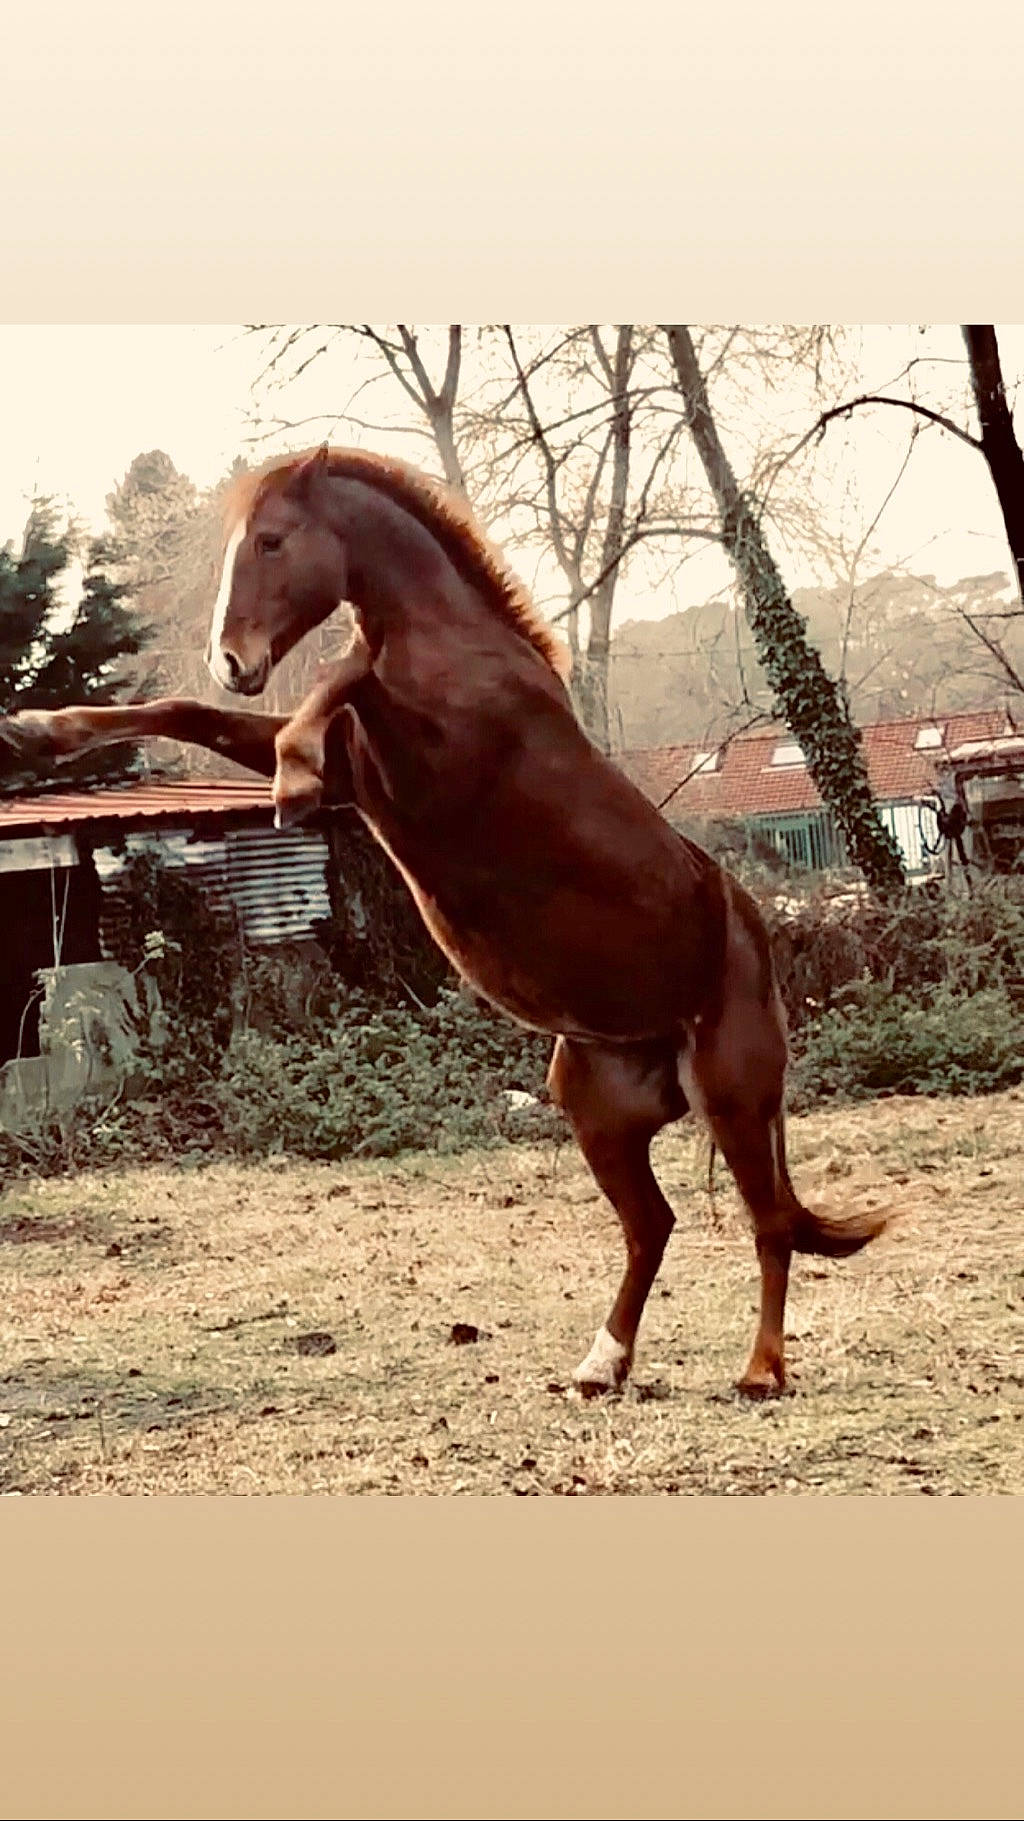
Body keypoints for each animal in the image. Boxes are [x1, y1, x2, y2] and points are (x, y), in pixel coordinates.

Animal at [0, 444, 892, 1399]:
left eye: (273, 540)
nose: (233, 659)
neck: (457, 649)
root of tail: (754, 937)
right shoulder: (364, 774)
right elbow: (199, 712)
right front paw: (37, 732)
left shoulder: (430, 758)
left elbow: (344, 681)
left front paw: (289, 776)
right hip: (600, 1109)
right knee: (653, 1224)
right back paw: (601, 1364)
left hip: (733, 1093)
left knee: (768, 1223)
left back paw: (760, 1370)